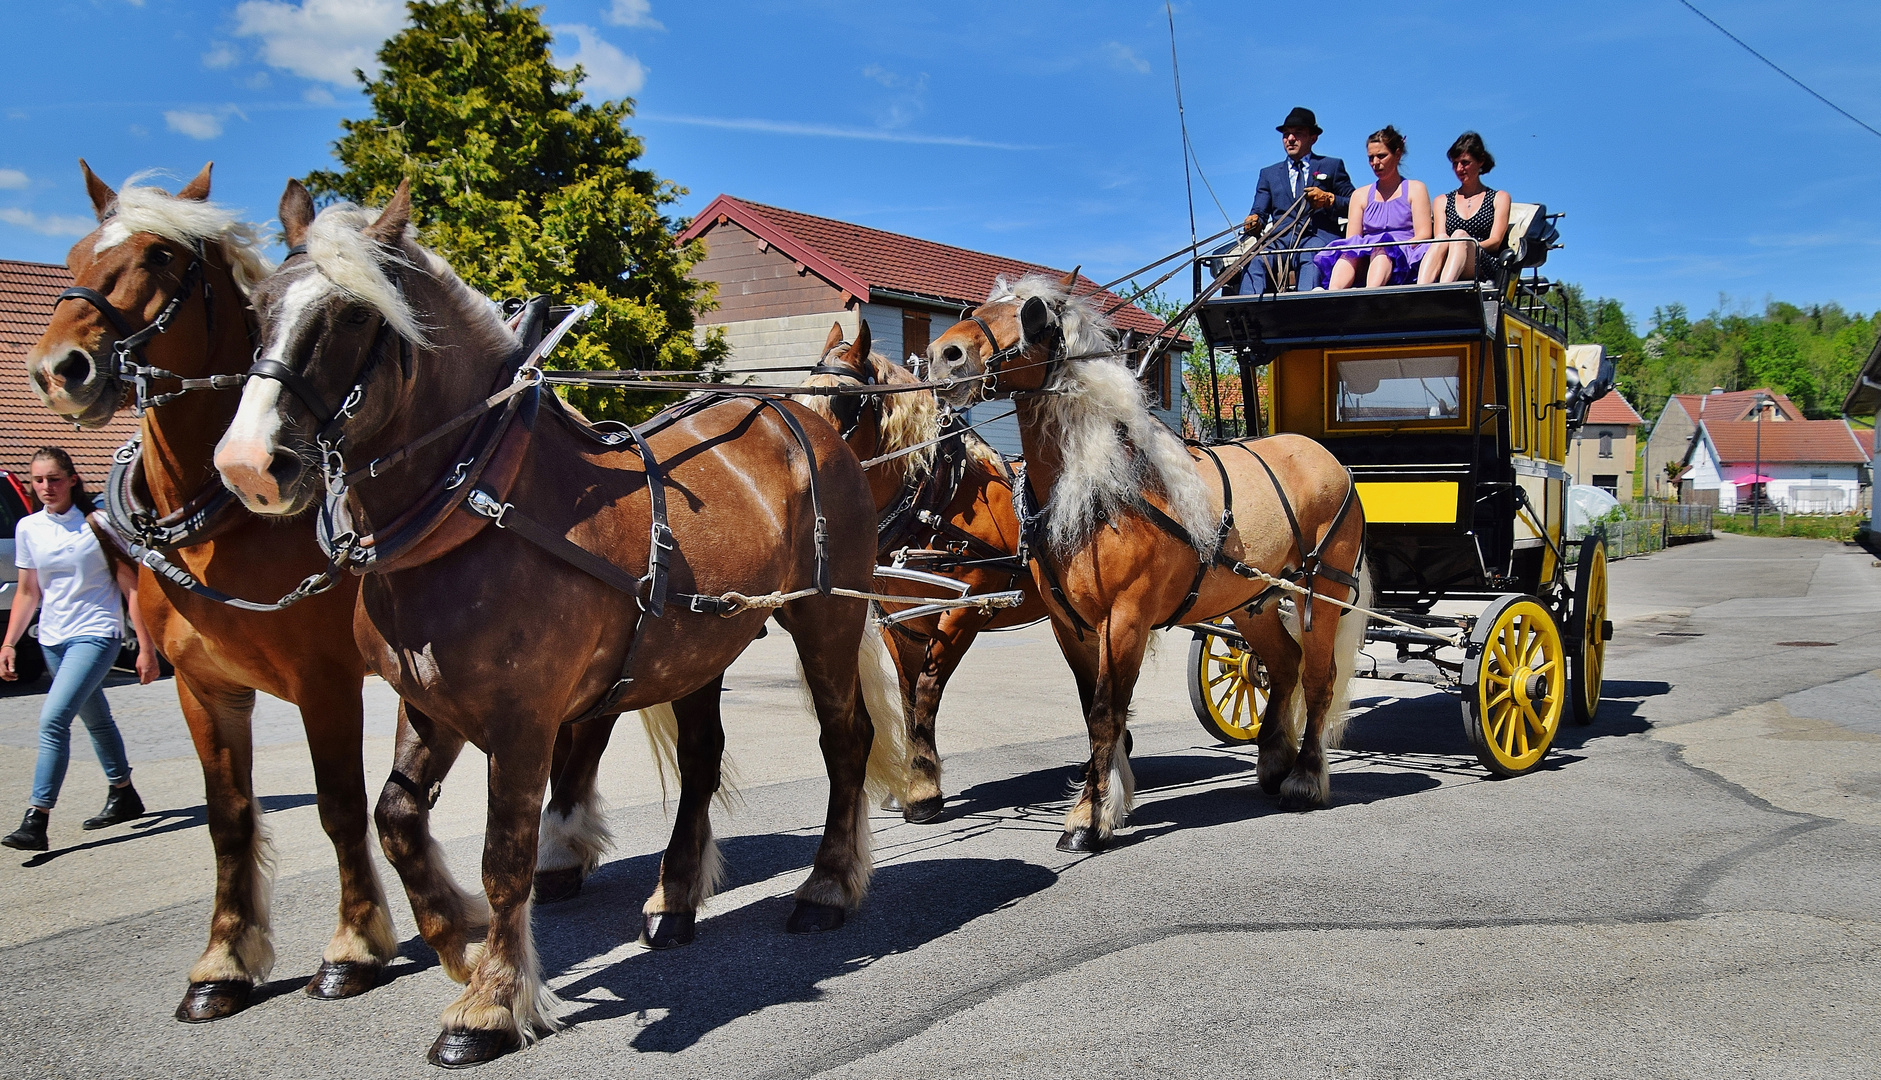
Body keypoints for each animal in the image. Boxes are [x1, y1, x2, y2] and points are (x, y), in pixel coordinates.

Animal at [20, 167, 404, 1023]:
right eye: (72, 253)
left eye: (159, 256)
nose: (60, 368)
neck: (225, 520)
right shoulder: (204, 686)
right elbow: (228, 820)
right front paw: (222, 963)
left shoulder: (325, 683)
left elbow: (337, 805)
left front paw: (352, 949)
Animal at [213, 182, 895, 1068]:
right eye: (259, 307)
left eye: (355, 316)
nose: (248, 466)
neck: (476, 508)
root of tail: (797, 416)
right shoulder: (427, 706)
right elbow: (395, 820)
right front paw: (460, 943)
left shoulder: (523, 721)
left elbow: (506, 856)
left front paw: (490, 1004)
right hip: (699, 646)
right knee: (702, 760)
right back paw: (673, 899)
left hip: (826, 616)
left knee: (845, 740)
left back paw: (827, 886)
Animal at [801, 319, 1053, 820]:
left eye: (846, 401)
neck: (935, 500)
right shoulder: (899, 618)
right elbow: (906, 695)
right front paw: (916, 782)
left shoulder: (963, 611)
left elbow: (926, 691)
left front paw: (921, 788)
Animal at [921, 272, 1369, 854]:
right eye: (977, 307)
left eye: (1033, 315)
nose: (943, 355)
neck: (1100, 489)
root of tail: (1329, 459)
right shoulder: (1071, 624)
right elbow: (1094, 709)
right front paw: (1109, 801)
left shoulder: (1127, 617)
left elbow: (1107, 710)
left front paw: (1086, 819)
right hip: (1251, 601)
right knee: (1284, 664)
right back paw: (1274, 762)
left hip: (1321, 592)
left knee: (1318, 676)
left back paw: (1306, 777)